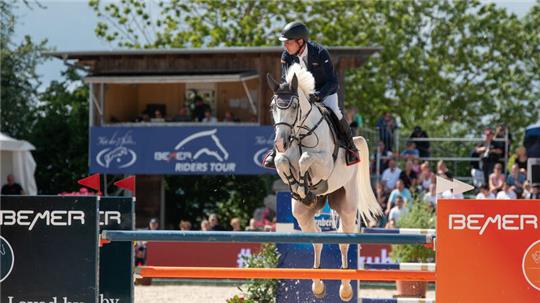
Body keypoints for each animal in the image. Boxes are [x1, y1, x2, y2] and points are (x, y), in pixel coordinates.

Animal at [268, 63, 382, 302]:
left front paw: (306, 183)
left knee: (343, 242)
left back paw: (346, 289)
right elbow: (283, 161)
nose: (281, 143)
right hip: (302, 214)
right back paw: (318, 285)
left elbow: (306, 159)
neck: (299, 134)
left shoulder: (324, 164)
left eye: (294, 107)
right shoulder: (282, 158)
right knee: (317, 239)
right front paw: (299, 187)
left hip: (347, 206)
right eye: (273, 107)